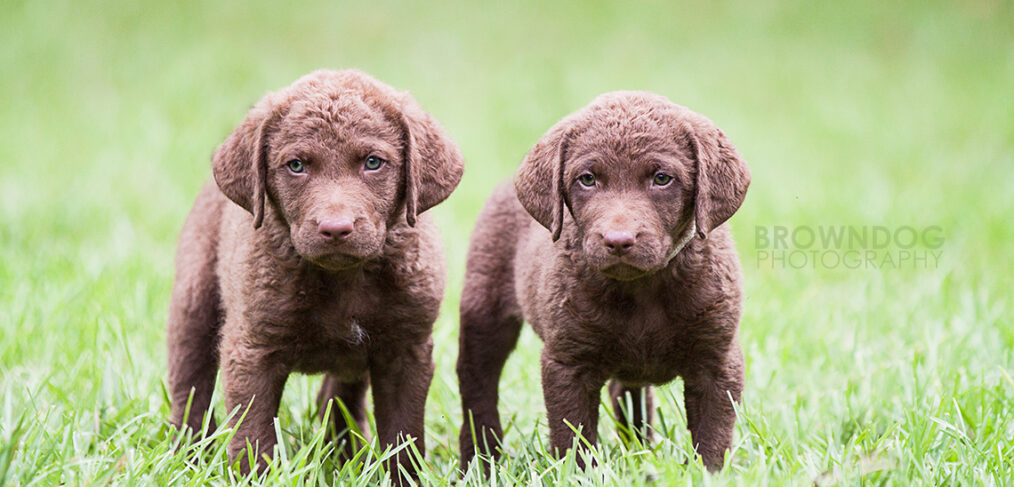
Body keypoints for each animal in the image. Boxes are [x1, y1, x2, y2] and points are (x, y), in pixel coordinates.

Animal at [167, 68, 466, 474]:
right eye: (296, 165)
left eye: (373, 162)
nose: (336, 228)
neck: (344, 278)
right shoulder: (250, 349)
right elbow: (252, 435)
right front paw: (256, 477)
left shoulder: (407, 350)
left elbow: (403, 435)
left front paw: (402, 476)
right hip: (194, 298)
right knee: (189, 386)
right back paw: (187, 455)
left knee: (342, 392)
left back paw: (343, 453)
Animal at [456, 91, 750, 470]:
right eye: (587, 179)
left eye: (662, 178)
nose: (618, 241)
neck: (642, 289)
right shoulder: (567, 363)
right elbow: (573, 435)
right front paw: (578, 473)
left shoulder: (718, 360)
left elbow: (713, 435)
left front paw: (710, 473)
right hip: (484, 304)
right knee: (478, 384)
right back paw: (479, 461)